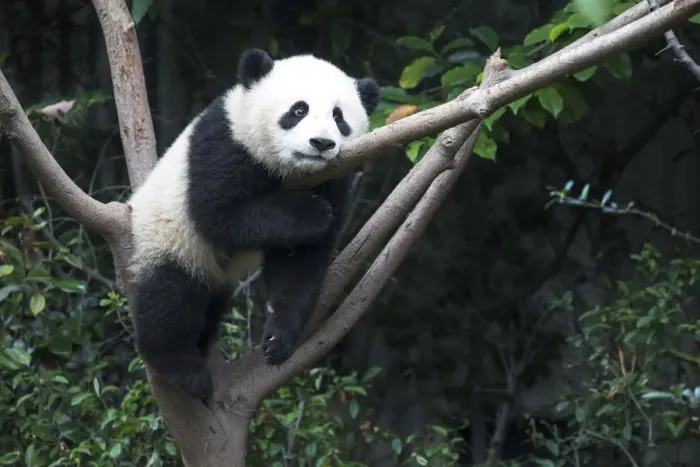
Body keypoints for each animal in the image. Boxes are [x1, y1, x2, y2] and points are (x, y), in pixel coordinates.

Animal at [126, 48, 380, 403]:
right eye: (298, 110)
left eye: (339, 117)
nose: (321, 143)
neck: (292, 171)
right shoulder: (225, 143)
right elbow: (219, 214)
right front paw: (311, 212)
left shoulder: (333, 178)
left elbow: (300, 262)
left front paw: (277, 339)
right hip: (167, 236)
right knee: (168, 295)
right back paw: (181, 367)